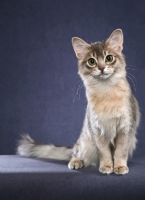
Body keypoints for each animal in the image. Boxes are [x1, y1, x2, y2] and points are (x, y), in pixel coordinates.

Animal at [17, 28, 140, 174]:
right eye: (92, 61)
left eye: (109, 58)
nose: (102, 68)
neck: (105, 91)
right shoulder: (96, 129)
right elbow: (104, 152)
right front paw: (106, 166)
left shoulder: (125, 127)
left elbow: (120, 152)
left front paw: (119, 167)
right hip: (86, 143)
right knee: (77, 154)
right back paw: (76, 162)